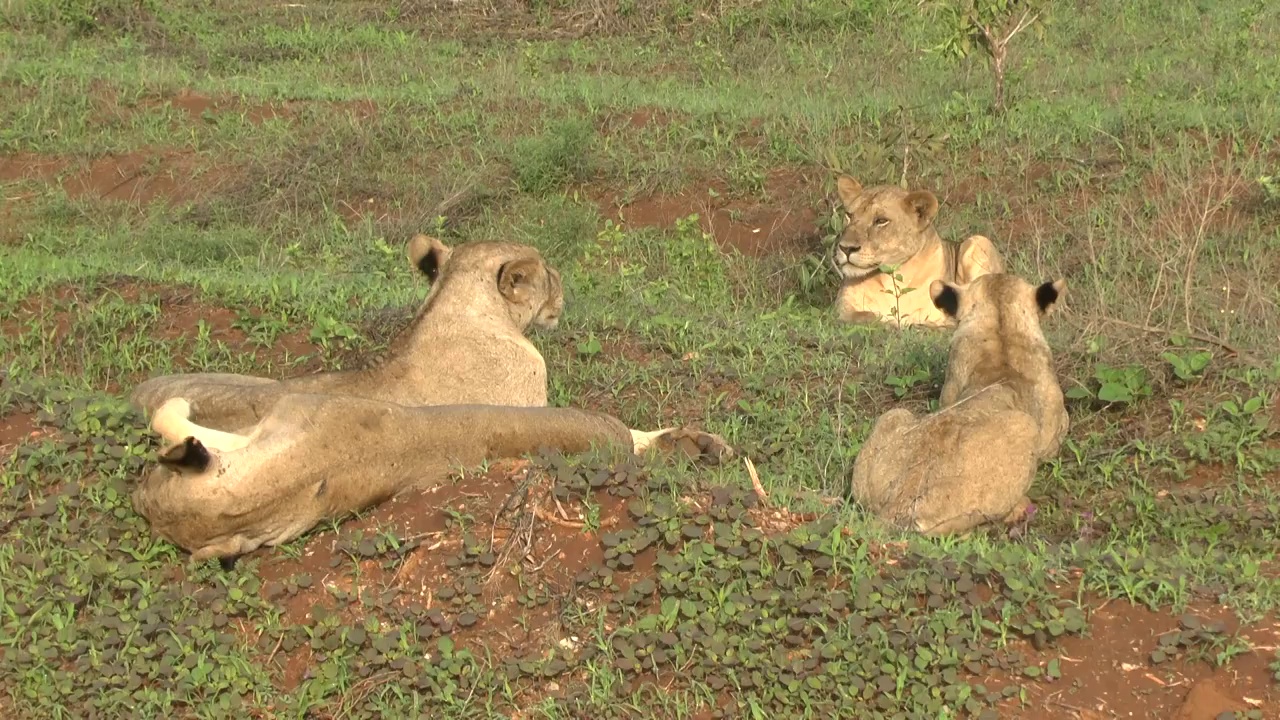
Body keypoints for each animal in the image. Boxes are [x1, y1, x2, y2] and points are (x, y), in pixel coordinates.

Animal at [829, 175, 1008, 326]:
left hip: (978, 241)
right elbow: (868, 316)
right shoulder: (842, 310)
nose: (845, 248)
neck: (891, 276)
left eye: (881, 221)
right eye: (849, 215)